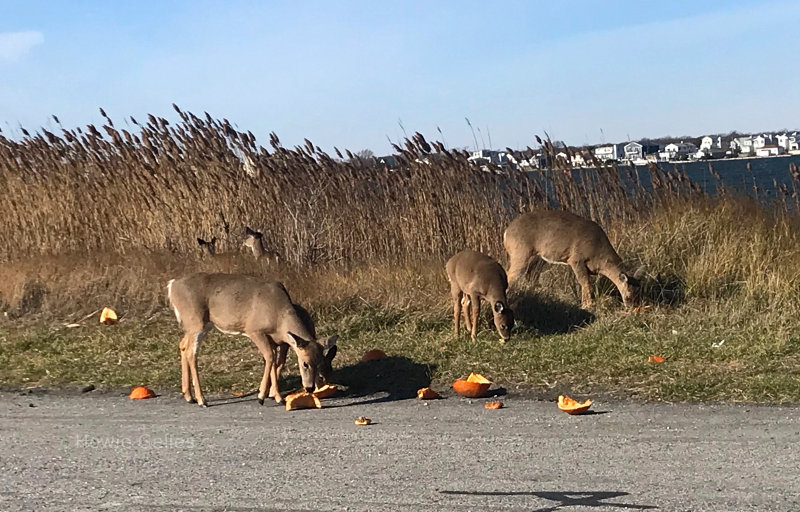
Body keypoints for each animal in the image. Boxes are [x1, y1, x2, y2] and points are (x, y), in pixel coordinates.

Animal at [167, 272, 336, 408]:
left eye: (320, 363)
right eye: (305, 363)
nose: (310, 388)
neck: (279, 317)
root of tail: (172, 285)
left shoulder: (273, 339)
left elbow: (274, 362)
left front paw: (275, 396)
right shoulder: (254, 330)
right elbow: (270, 357)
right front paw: (262, 397)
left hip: (201, 325)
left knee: (183, 345)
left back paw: (189, 397)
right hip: (196, 322)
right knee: (191, 352)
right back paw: (202, 400)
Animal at [506, 209, 644, 308]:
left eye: (639, 294)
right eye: (629, 296)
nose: (633, 308)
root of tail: (506, 232)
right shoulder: (576, 259)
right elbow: (585, 282)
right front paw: (587, 305)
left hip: (537, 258)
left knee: (531, 275)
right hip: (520, 252)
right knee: (510, 275)